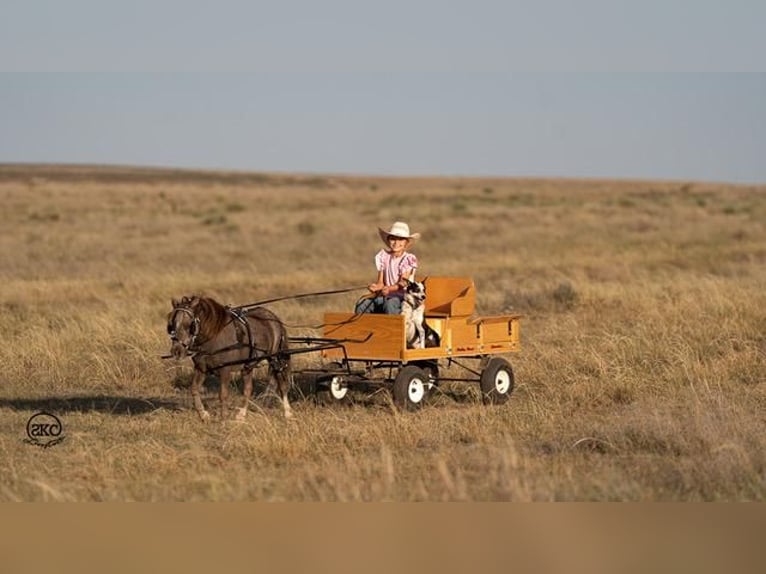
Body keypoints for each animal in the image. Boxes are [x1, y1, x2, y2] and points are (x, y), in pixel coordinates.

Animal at [168, 296, 294, 424]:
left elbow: (223, 394)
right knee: (248, 388)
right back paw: (242, 415)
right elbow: (194, 389)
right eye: (172, 325)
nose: (176, 351)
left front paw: (223, 419)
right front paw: (204, 415)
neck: (213, 336)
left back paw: (287, 413)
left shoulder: (225, 370)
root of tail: (273, 318)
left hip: (275, 358)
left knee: (282, 383)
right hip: (248, 366)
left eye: (190, 325)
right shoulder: (201, 369)